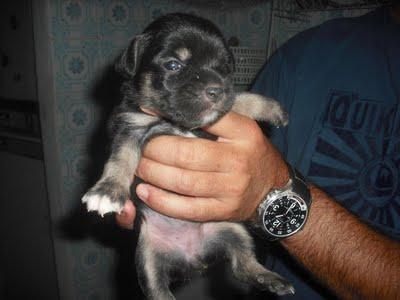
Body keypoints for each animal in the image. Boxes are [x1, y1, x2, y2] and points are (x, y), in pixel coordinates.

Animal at [82, 12, 294, 298]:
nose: (215, 90)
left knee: (243, 265)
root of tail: (194, 260)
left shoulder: (219, 112)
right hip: (148, 259)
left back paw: (271, 279)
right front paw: (107, 191)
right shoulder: (130, 127)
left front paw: (269, 107)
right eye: (173, 65)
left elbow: (238, 99)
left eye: (224, 69)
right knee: (159, 291)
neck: (175, 122)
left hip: (232, 230)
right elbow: (121, 159)